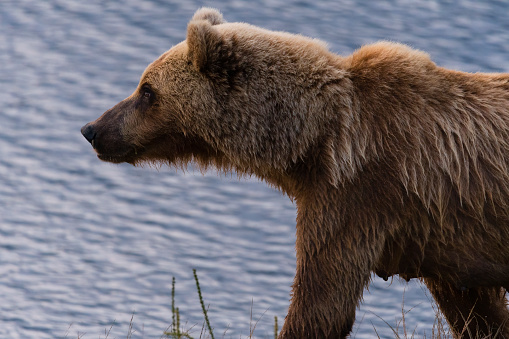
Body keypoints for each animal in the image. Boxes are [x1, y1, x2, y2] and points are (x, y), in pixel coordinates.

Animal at [81, 7, 508, 339]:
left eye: (146, 90)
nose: (92, 129)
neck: (312, 142)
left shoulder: (359, 196)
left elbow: (322, 303)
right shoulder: (439, 240)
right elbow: (476, 314)